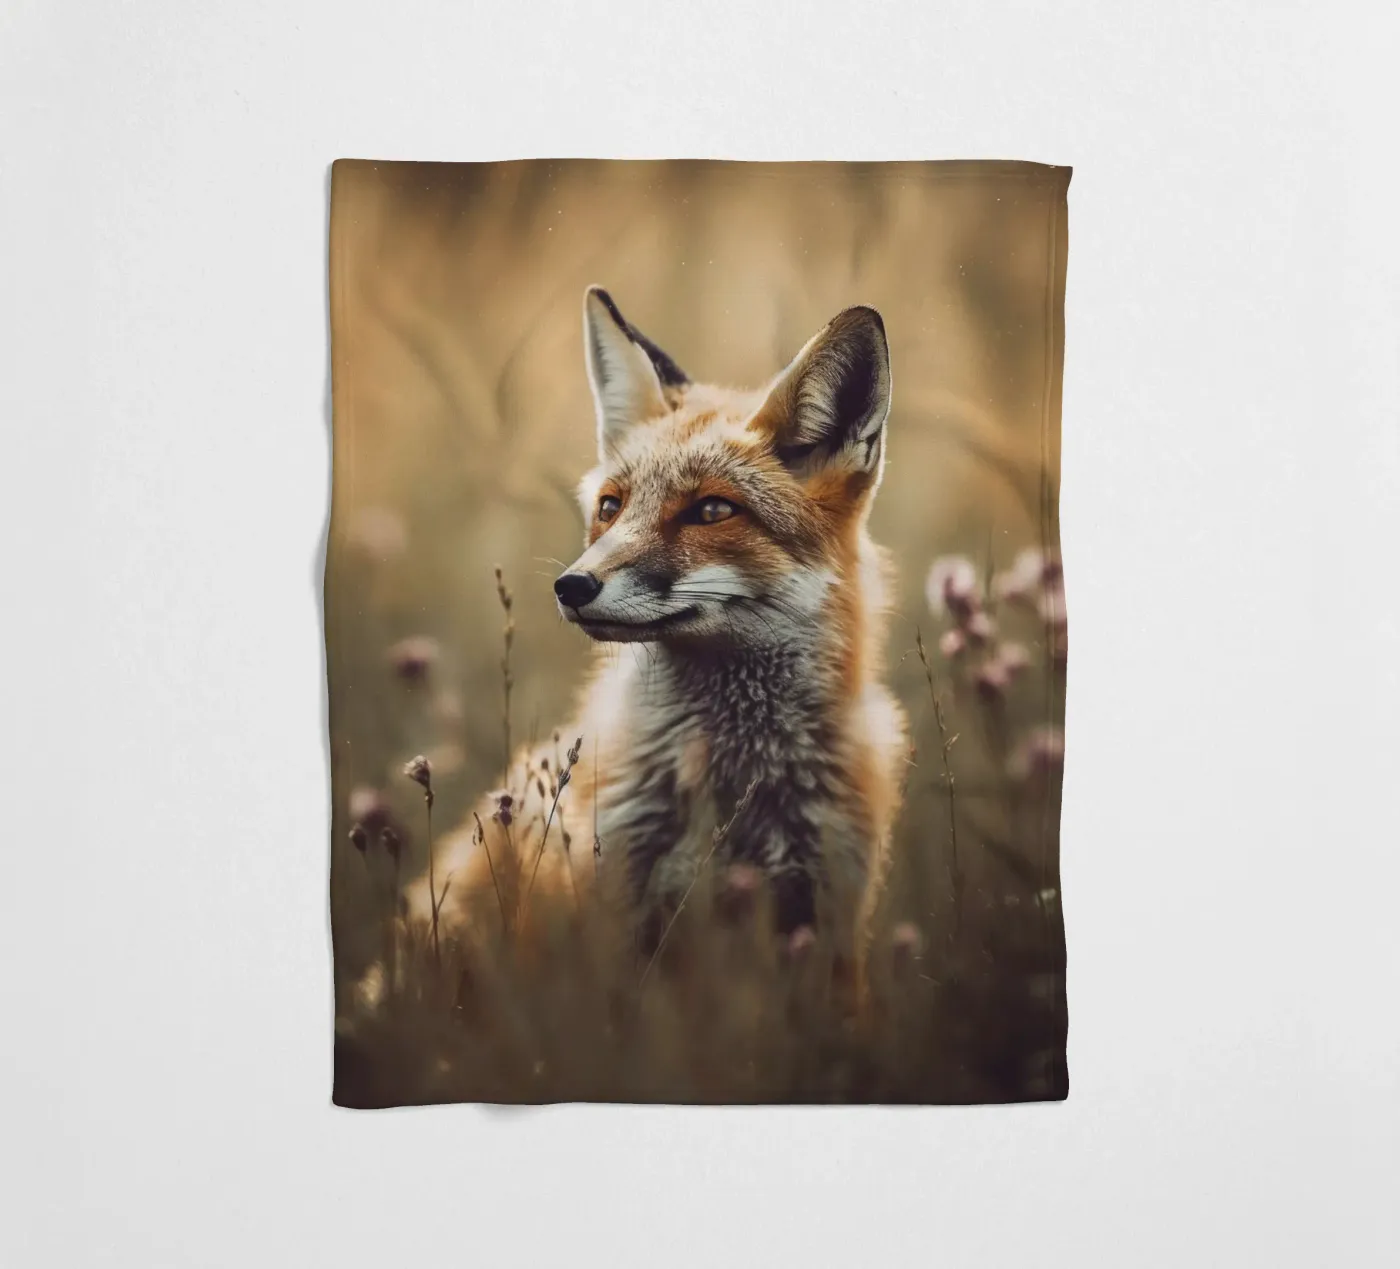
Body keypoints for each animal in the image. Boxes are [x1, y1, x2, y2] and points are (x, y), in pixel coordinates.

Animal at [400, 285, 908, 974]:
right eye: (611, 507)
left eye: (712, 510)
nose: (571, 587)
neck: (733, 785)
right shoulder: (615, 911)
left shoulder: (828, 919)